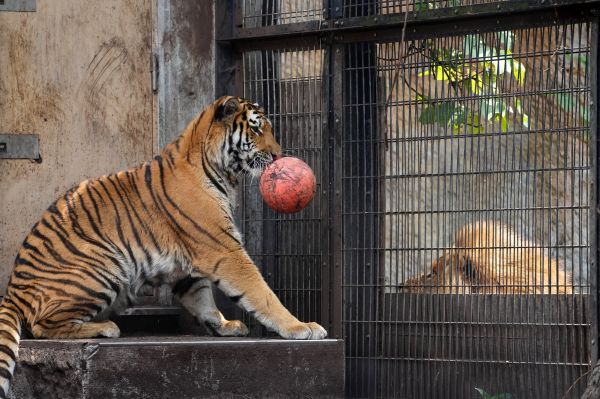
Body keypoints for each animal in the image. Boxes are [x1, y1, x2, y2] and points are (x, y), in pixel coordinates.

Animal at [0, 95, 326, 398]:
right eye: (257, 129)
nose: (277, 154)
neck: (219, 170)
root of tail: (13, 290)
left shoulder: (192, 266)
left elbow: (203, 298)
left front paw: (223, 325)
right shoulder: (225, 250)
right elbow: (262, 294)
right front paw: (301, 328)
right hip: (104, 265)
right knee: (41, 325)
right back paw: (105, 327)